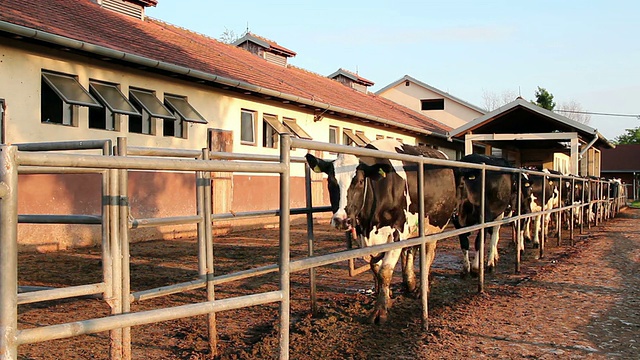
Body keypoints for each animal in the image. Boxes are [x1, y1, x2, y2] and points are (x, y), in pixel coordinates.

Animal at [304, 139, 456, 324]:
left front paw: (380, 311)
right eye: (331, 181)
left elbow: (385, 271)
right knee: (410, 252)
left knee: (427, 256)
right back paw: (410, 283)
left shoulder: (398, 231)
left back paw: (422, 289)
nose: (341, 220)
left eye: (360, 181)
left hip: (433, 227)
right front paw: (388, 298)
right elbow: (375, 266)